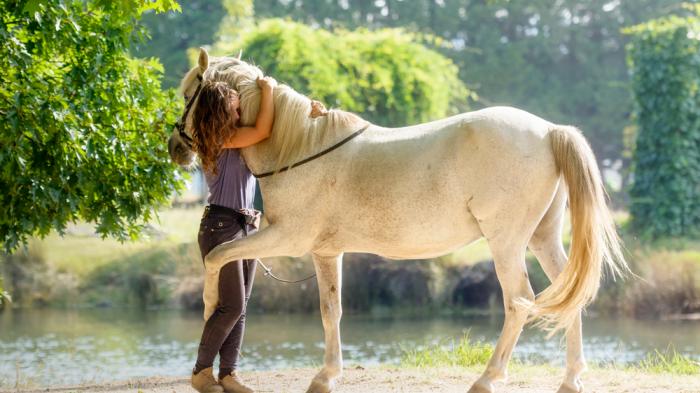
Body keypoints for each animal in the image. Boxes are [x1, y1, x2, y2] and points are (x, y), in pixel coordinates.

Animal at [171, 49, 628, 392]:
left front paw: (208, 309)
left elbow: (217, 258)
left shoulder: (286, 238)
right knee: (569, 295)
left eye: (189, 93)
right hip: (542, 238)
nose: (176, 146)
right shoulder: (325, 252)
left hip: (506, 244)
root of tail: (549, 131)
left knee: (518, 302)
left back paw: (487, 379)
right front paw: (326, 377)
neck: (300, 147)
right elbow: (331, 310)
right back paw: (570, 380)